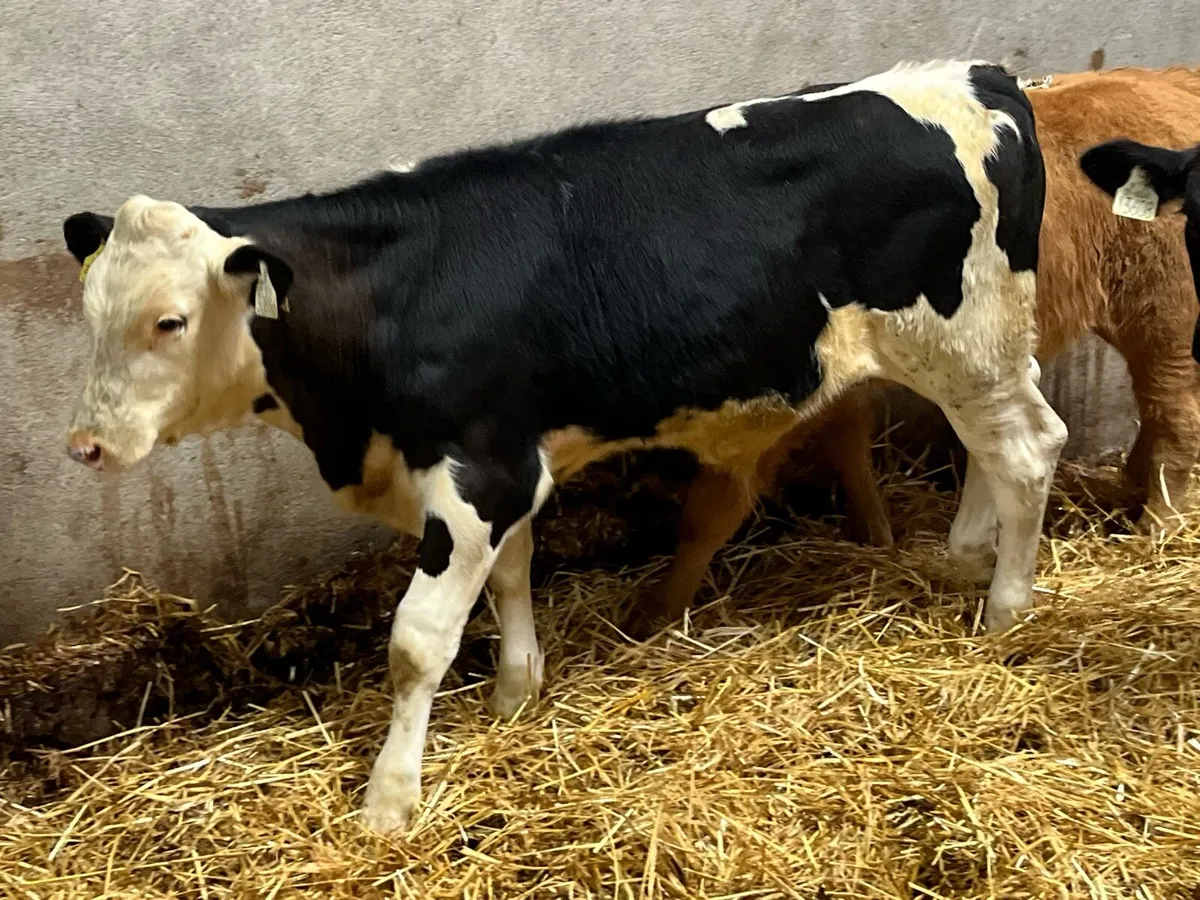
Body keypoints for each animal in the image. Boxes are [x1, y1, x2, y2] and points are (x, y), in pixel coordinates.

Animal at [60, 60, 1063, 833]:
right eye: (92, 311)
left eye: (170, 320)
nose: (85, 445)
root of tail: (981, 74)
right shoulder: (505, 466)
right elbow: (511, 578)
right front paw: (515, 695)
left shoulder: (482, 475)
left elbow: (417, 641)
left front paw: (389, 801)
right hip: (977, 355)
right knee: (994, 448)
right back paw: (967, 556)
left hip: (966, 342)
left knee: (1026, 451)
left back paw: (1006, 609)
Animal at [634, 67, 1200, 638]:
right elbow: (850, 449)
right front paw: (876, 535)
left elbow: (711, 513)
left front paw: (655, 615)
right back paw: (1133, 484)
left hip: (1166, 316)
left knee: (1176, 418)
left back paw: (1157, 529)